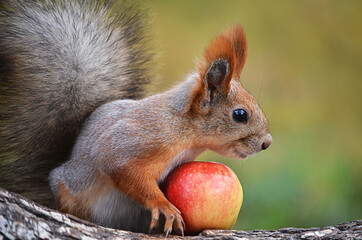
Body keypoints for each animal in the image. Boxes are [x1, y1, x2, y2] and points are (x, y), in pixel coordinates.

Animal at [0, 0, 272, 236]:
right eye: (240, 115)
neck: (182, 129)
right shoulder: (133, 143)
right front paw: (164, 206)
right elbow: (127, 172)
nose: (267, 143)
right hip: (70, 191)